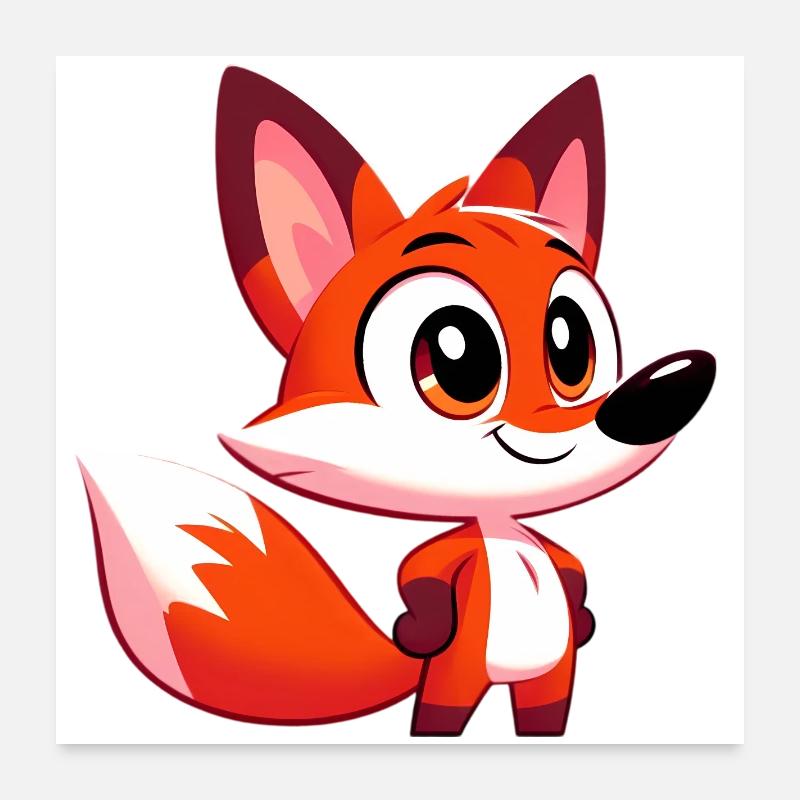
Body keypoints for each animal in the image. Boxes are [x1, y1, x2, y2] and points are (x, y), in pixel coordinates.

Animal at [79, 67, 716, 737]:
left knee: (544, 713)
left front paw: (585, 615)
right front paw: (418, 627)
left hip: (548, 681)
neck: (504, 530)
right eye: (456, 357)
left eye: (571, 346)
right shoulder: (450, 568)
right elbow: (425, 576)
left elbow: (570, 570)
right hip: (459, 677)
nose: (669, 390)